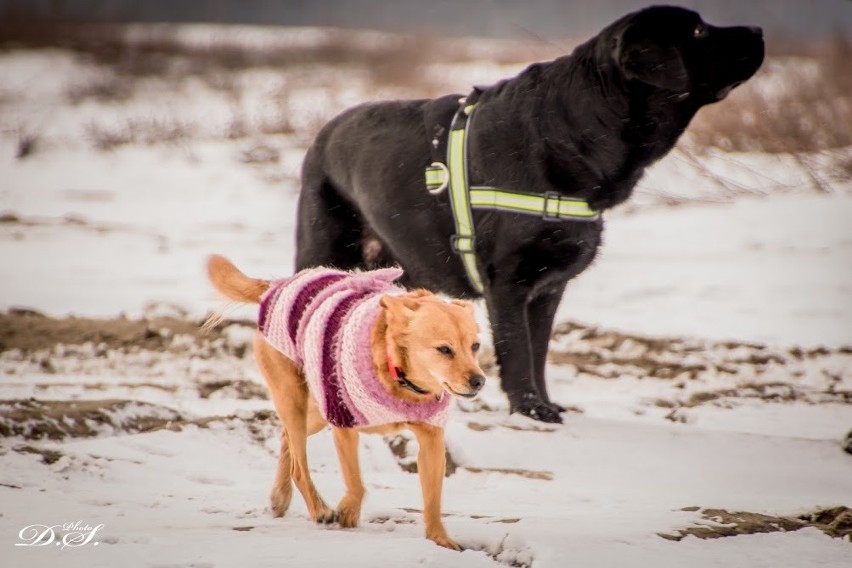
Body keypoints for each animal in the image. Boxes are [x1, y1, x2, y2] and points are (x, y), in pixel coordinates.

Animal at [206, 255, 486, 548]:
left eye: (475, 346)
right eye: (444, 349)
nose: (479, 381)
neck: (399, 378)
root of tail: (276, 286)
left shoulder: (431, 440)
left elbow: (433, 500)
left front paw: (440, 540)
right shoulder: (343, 425)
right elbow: (356, 483)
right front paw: (348, 512)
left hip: (316, 410)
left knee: (286, 440)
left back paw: (280, 497)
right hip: (293, 400)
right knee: (298, 465)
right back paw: (318, 509)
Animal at [294, 4, 764, 422]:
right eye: (699, 31)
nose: (758, 30)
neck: (576, 130)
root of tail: (323, 134)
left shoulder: (547, 288)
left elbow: (538, 352)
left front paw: (546, 404)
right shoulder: (509, 282)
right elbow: (517, 351)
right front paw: (531, 410)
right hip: (323, 247)